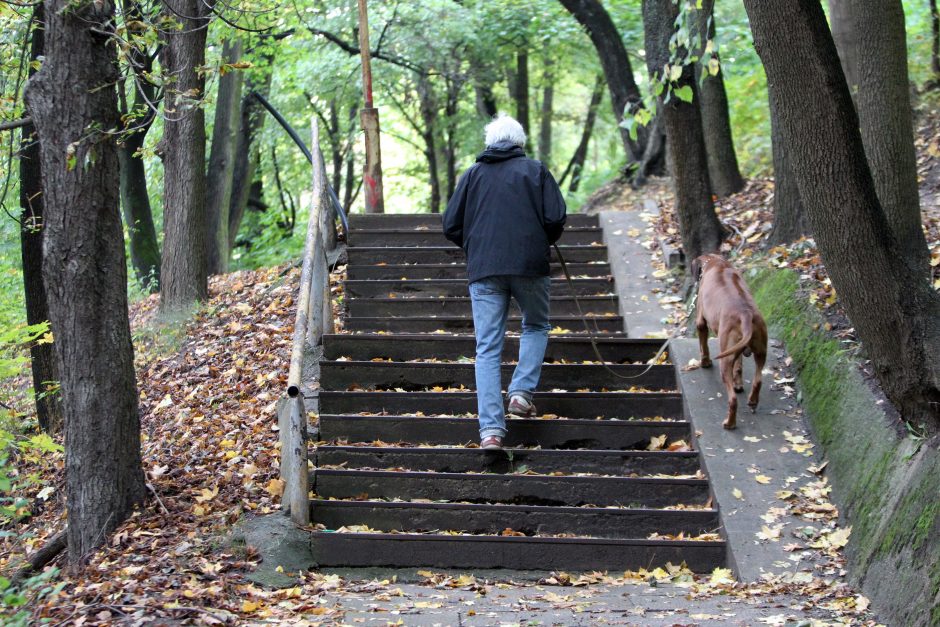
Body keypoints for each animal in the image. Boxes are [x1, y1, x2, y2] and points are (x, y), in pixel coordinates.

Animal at [692, 253, 768, 430]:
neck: (715, 262)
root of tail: (746, 314)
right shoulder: (737, 348)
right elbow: (739, 366)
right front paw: (738, 384)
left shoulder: (701, 321)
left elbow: (703, 345)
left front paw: (705, 362)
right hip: (760, 351)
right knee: (758, 380)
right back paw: (752, 401)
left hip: (724, 360)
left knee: (732, 399)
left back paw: (729, 423)